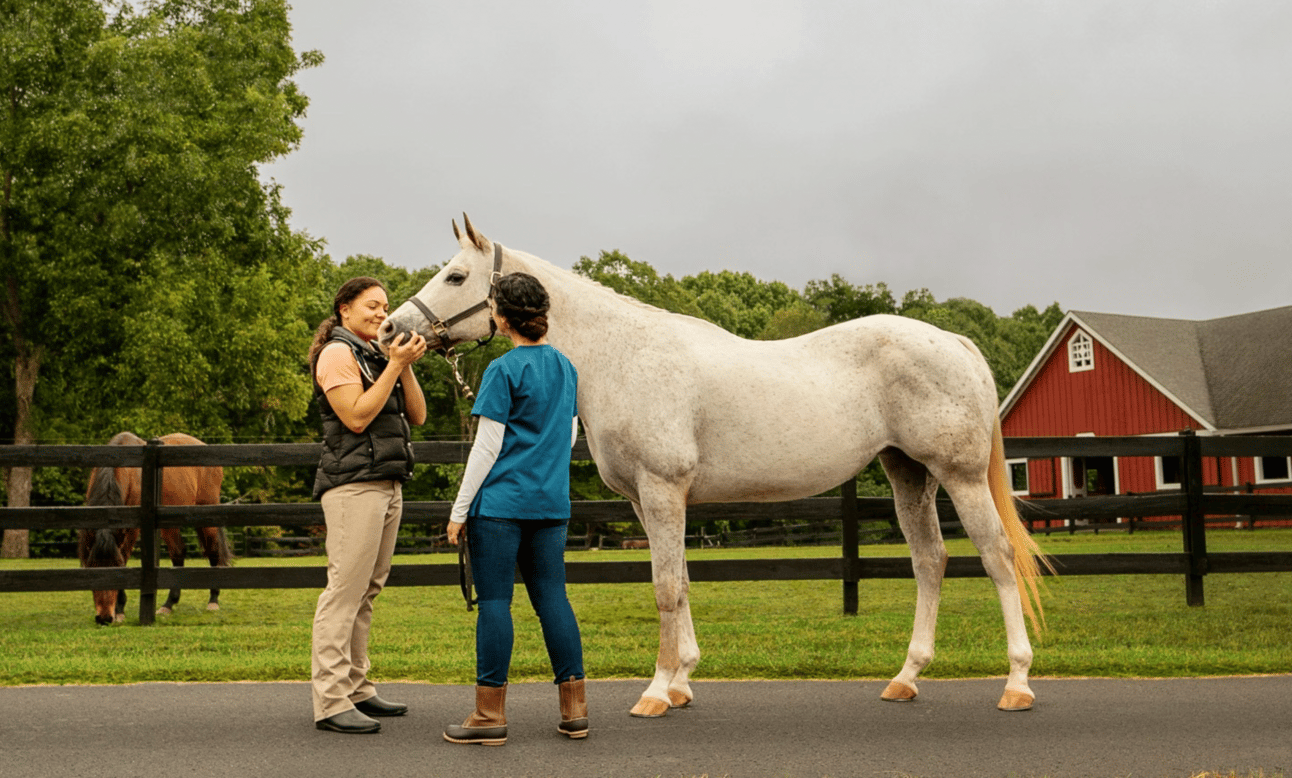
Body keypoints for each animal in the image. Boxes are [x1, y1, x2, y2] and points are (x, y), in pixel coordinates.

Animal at [77, 429, 229, 622]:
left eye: (116, 567)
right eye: (91, 568)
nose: (104, 618)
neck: (125, 469)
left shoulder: (132, 530)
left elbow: (125, 557)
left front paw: (119, 609)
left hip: (206, 513)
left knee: (213, 550)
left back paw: (213, 601)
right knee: (178, 552)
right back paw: (168, 605)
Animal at [382, 214, 1049, 713]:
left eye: (456, 275)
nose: (392, 329)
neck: (622, 357)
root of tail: (952, 341)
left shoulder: (662, 491)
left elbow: (664, 589)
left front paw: (655, 691)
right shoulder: (649, 502)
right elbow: (678, 581)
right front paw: (681, 682)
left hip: (960, 477)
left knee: (996, 556)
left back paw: (1017, 681)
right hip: (907, 473)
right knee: (930, 561)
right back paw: (906, 677)